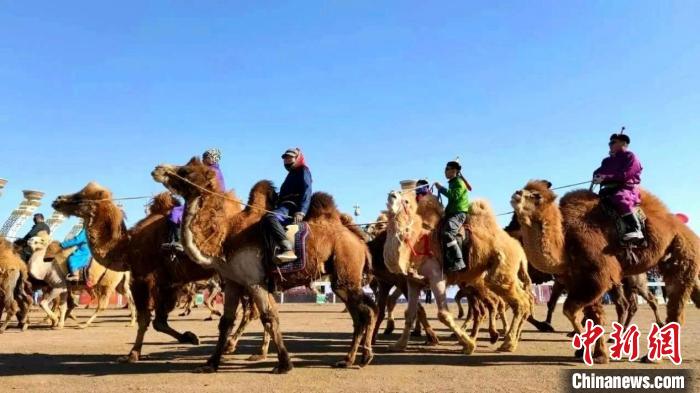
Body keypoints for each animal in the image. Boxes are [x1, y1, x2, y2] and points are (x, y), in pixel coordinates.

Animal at [52, 185, 217, 362]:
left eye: (80, 196)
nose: (58, 200)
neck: (127, 247)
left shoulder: (144, 279)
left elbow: (145, 320)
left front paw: (133, 353)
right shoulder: (168, 283)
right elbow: (159, 322)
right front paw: (190, 337)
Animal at [152, 158, 378, 372]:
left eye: (185, 171)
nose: (157, 169)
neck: (225, 237)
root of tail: (360, 242)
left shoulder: (254, 281)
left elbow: (269, 317)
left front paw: (284, 364)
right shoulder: (233, 282)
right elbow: (226, 322)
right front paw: (210, 364)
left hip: (345, 271)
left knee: (366, 311)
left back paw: (364, 357)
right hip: (342, 278)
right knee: (361, 314)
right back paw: (349, 360)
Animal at [382, 191, 532, 354]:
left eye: (406, 201)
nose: (392, 194)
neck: (418, 243)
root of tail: (520, 250)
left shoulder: (437, 277)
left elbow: (443, 315)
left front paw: (469, 345)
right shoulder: (413, 282)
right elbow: (410, 313)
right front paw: (398, 345)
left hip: (500, 271)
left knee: (519, 302)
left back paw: (507, 343)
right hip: (504, 275)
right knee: (523, 299)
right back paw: (509, 339)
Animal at [508, 179, 700, 362]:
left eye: (536, 195)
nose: (516, 193)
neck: (564, 246)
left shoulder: (597, 276)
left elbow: (570, 310)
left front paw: (590, 351)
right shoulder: (577, 281)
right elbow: (593, 315)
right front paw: (594, 353)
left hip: (677, 253)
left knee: (668, 306)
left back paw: (652, 356)